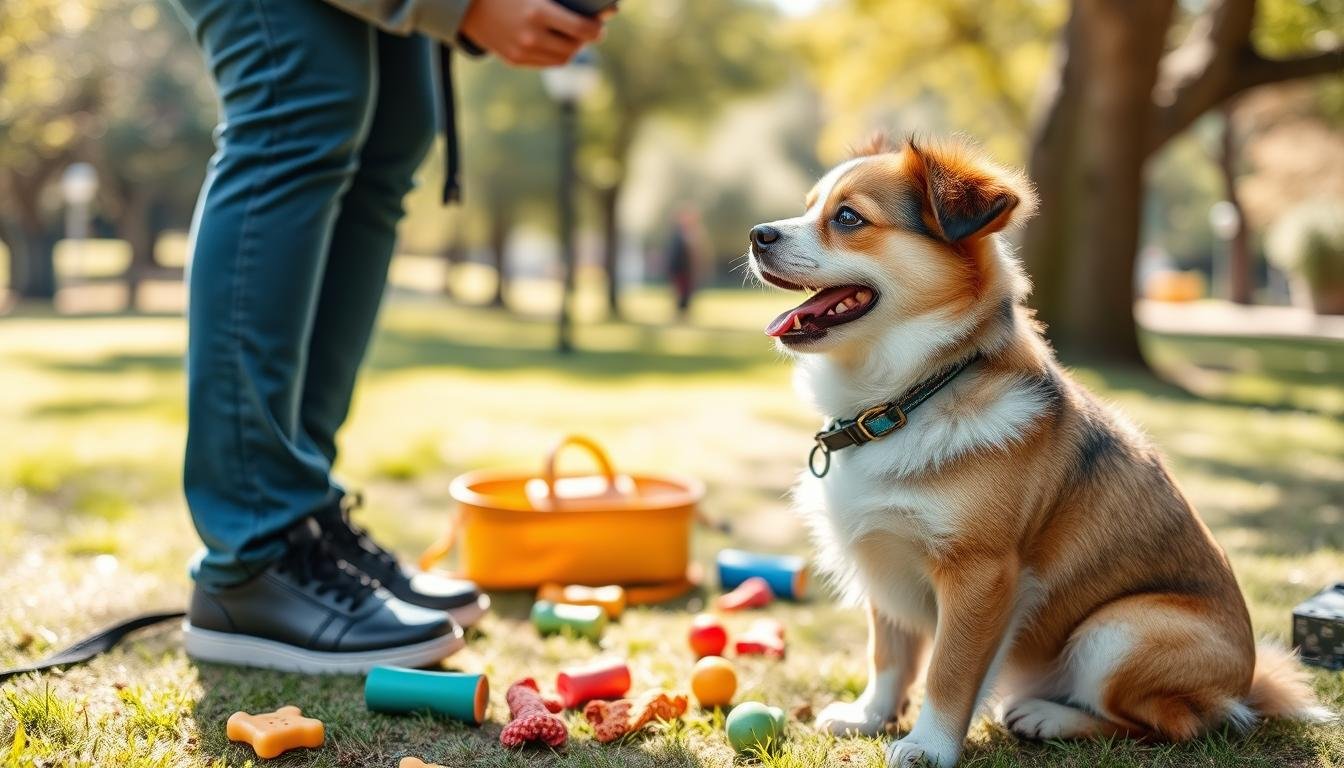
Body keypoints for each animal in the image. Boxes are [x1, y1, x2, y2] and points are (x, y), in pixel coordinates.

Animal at [747, 135, 1333, 763]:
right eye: (808, 207)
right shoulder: (883, 558)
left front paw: (928, 745)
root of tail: (1246, 687)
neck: (909, 397)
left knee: (1167, 724)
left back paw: (1049, 717)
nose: (757, 234)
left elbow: (946, 671)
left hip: (1120, 631)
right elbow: (889, 654)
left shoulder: (980, 575)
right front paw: (871, 715)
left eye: (848, 218)